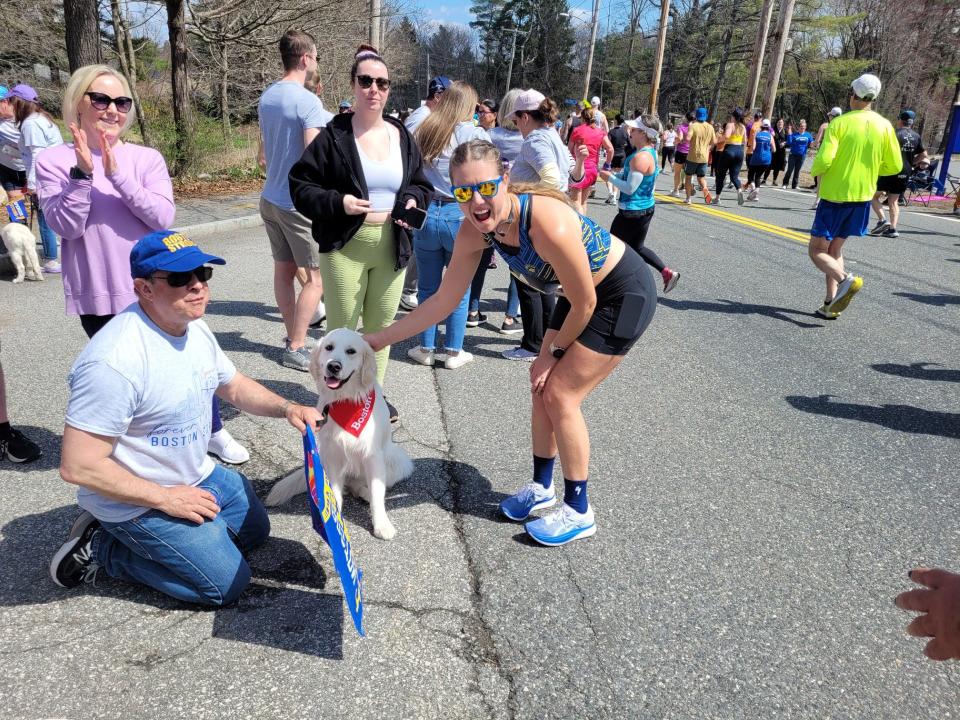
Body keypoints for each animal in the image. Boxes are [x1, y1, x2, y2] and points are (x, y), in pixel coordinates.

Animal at [266, 330, 412, 536]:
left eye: (351, 351)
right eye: (329, 347)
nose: (333, 366)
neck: (345, 401)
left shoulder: (373, 455)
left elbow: (377, 491)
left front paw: (381, 525)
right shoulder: (333, 455)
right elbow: (334, 492)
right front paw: (335, 521)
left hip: (399, 461)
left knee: (366, 485)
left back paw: (365, 493)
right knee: (349, 486)